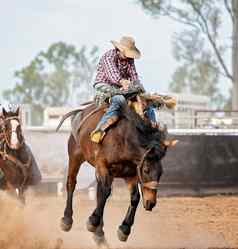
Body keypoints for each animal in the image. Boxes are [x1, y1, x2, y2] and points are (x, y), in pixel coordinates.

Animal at [57, 90, 177, 245]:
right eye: (146, 170)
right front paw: (92, 221)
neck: (124, 140)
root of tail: (81, 112)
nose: (151, 203)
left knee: (99, 193)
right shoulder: (103, 166)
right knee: (72, 183)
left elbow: (134, 197)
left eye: (161, 173)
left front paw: (124, 230)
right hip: (75, 156)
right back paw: (67, 220)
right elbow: (105, 192)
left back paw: (99, 235)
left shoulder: (130, 175)